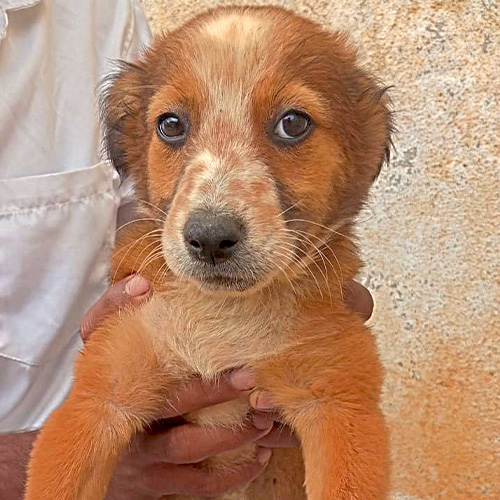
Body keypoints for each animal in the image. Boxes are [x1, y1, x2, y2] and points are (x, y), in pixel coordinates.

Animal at [25, 6, 393, 499]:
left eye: (293, 124)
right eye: (171, 125)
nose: (212, 237)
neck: (222, 316)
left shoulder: (339, 402)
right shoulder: (101, 394)